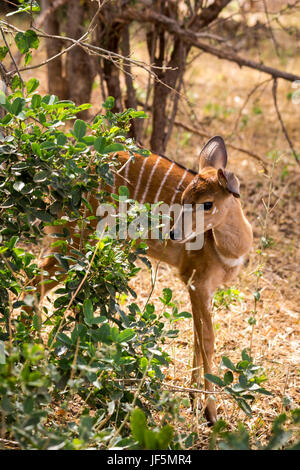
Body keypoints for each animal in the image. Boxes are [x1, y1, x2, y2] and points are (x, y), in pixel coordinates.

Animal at [30, 135, 252, 422]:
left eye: (207, 203)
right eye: (183, 197)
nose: (173, 233)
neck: (231, 250)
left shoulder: (201, 287)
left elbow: (196, 336)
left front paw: (194, 401)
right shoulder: (197, 283)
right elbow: (207, 341)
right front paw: (210, 413)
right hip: (76, 243)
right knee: (35, 283)